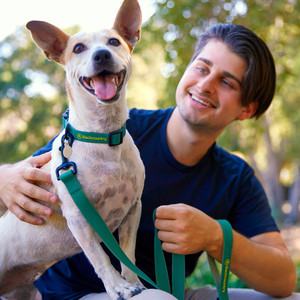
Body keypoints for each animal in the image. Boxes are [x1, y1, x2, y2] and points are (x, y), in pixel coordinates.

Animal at [0, 0, 145, 300]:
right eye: (78, 48)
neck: (102, 135)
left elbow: (127, 254)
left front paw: (133, 282)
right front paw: (118, 287)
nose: (101, 55)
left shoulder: (132, 209)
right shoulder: (79, 219)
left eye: (114, 42)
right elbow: (100, 258)